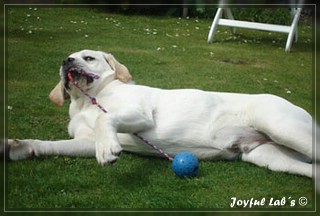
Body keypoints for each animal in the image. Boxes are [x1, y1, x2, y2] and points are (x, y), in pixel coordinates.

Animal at [6, 49, 314, 178]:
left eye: (88, 58)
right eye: (66, 58)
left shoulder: (139, 113)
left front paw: (108, 149)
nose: (65, 61)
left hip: (282, 127)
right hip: (271, 157)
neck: (87, 101)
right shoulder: (84, 141)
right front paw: (19, 147)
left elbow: (107, 118)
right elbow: (52, 145)